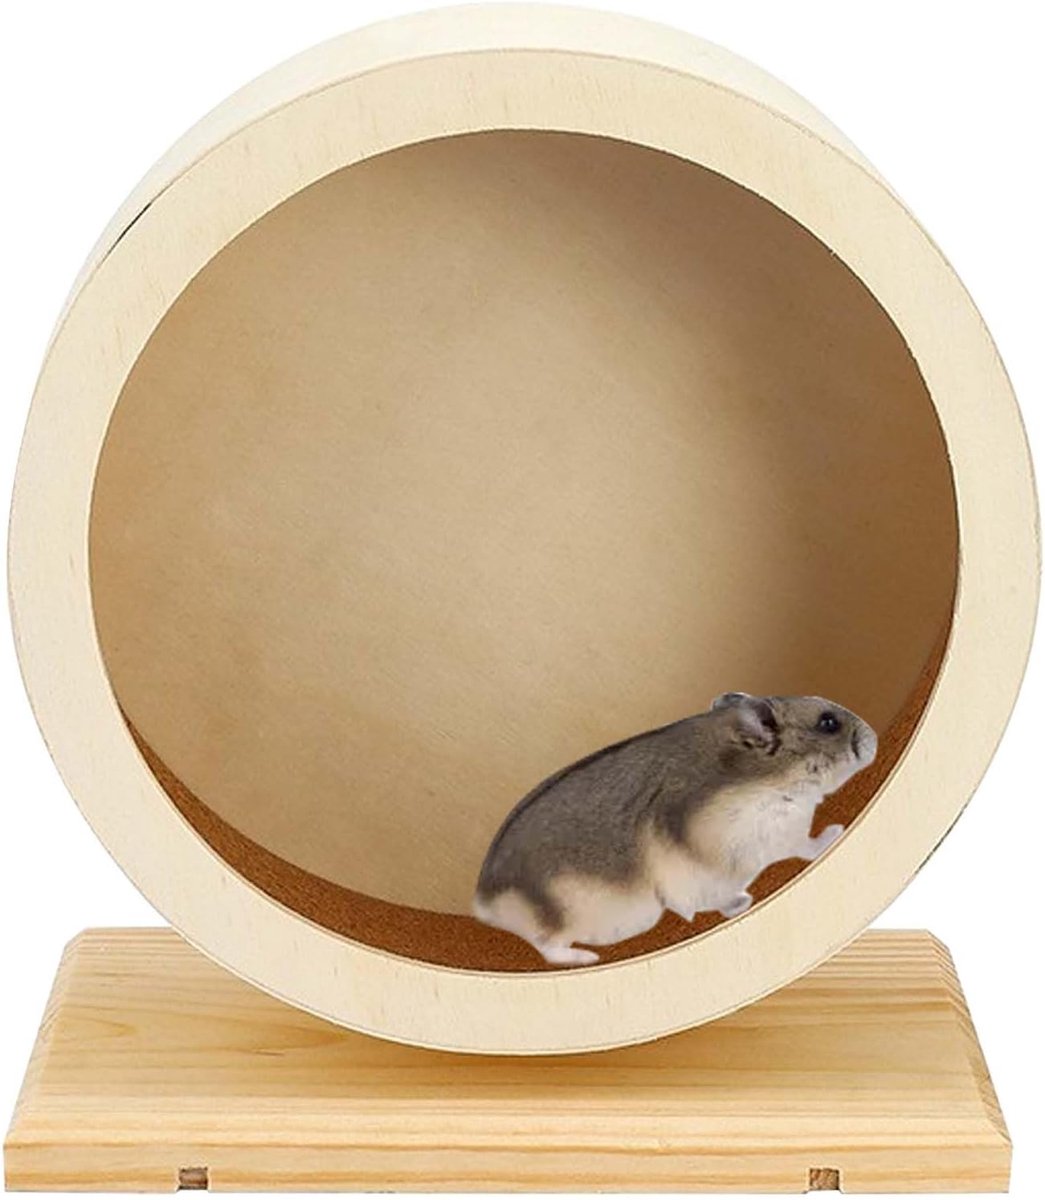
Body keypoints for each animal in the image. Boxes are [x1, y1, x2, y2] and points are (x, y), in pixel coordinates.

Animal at [473, 693, 877, 966]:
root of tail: (483, 902)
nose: (873, 737)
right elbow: (808, 846)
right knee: (548, 948)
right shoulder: (777, 834)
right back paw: (588, 959)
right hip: (570, 915)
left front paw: (740, 903)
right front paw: (837, 830)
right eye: (828, 723)